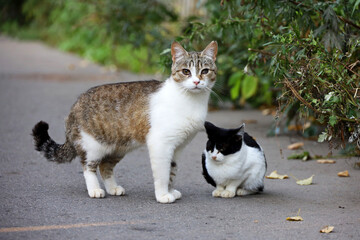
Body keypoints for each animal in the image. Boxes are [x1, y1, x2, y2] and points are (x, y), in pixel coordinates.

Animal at [32, 40, 218, 202]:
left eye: (205, 71)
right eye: (186, 71)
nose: (196, 81)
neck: (190, 101)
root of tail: (75, 105)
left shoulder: (178, 147)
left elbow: (172, 171)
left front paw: (171, 191)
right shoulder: (161, 144)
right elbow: (163, 173)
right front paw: (163, 195)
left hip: (118, 147)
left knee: (104, 166)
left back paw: (113, 188)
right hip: (92, 145)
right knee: (88, 166)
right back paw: (95, 189)